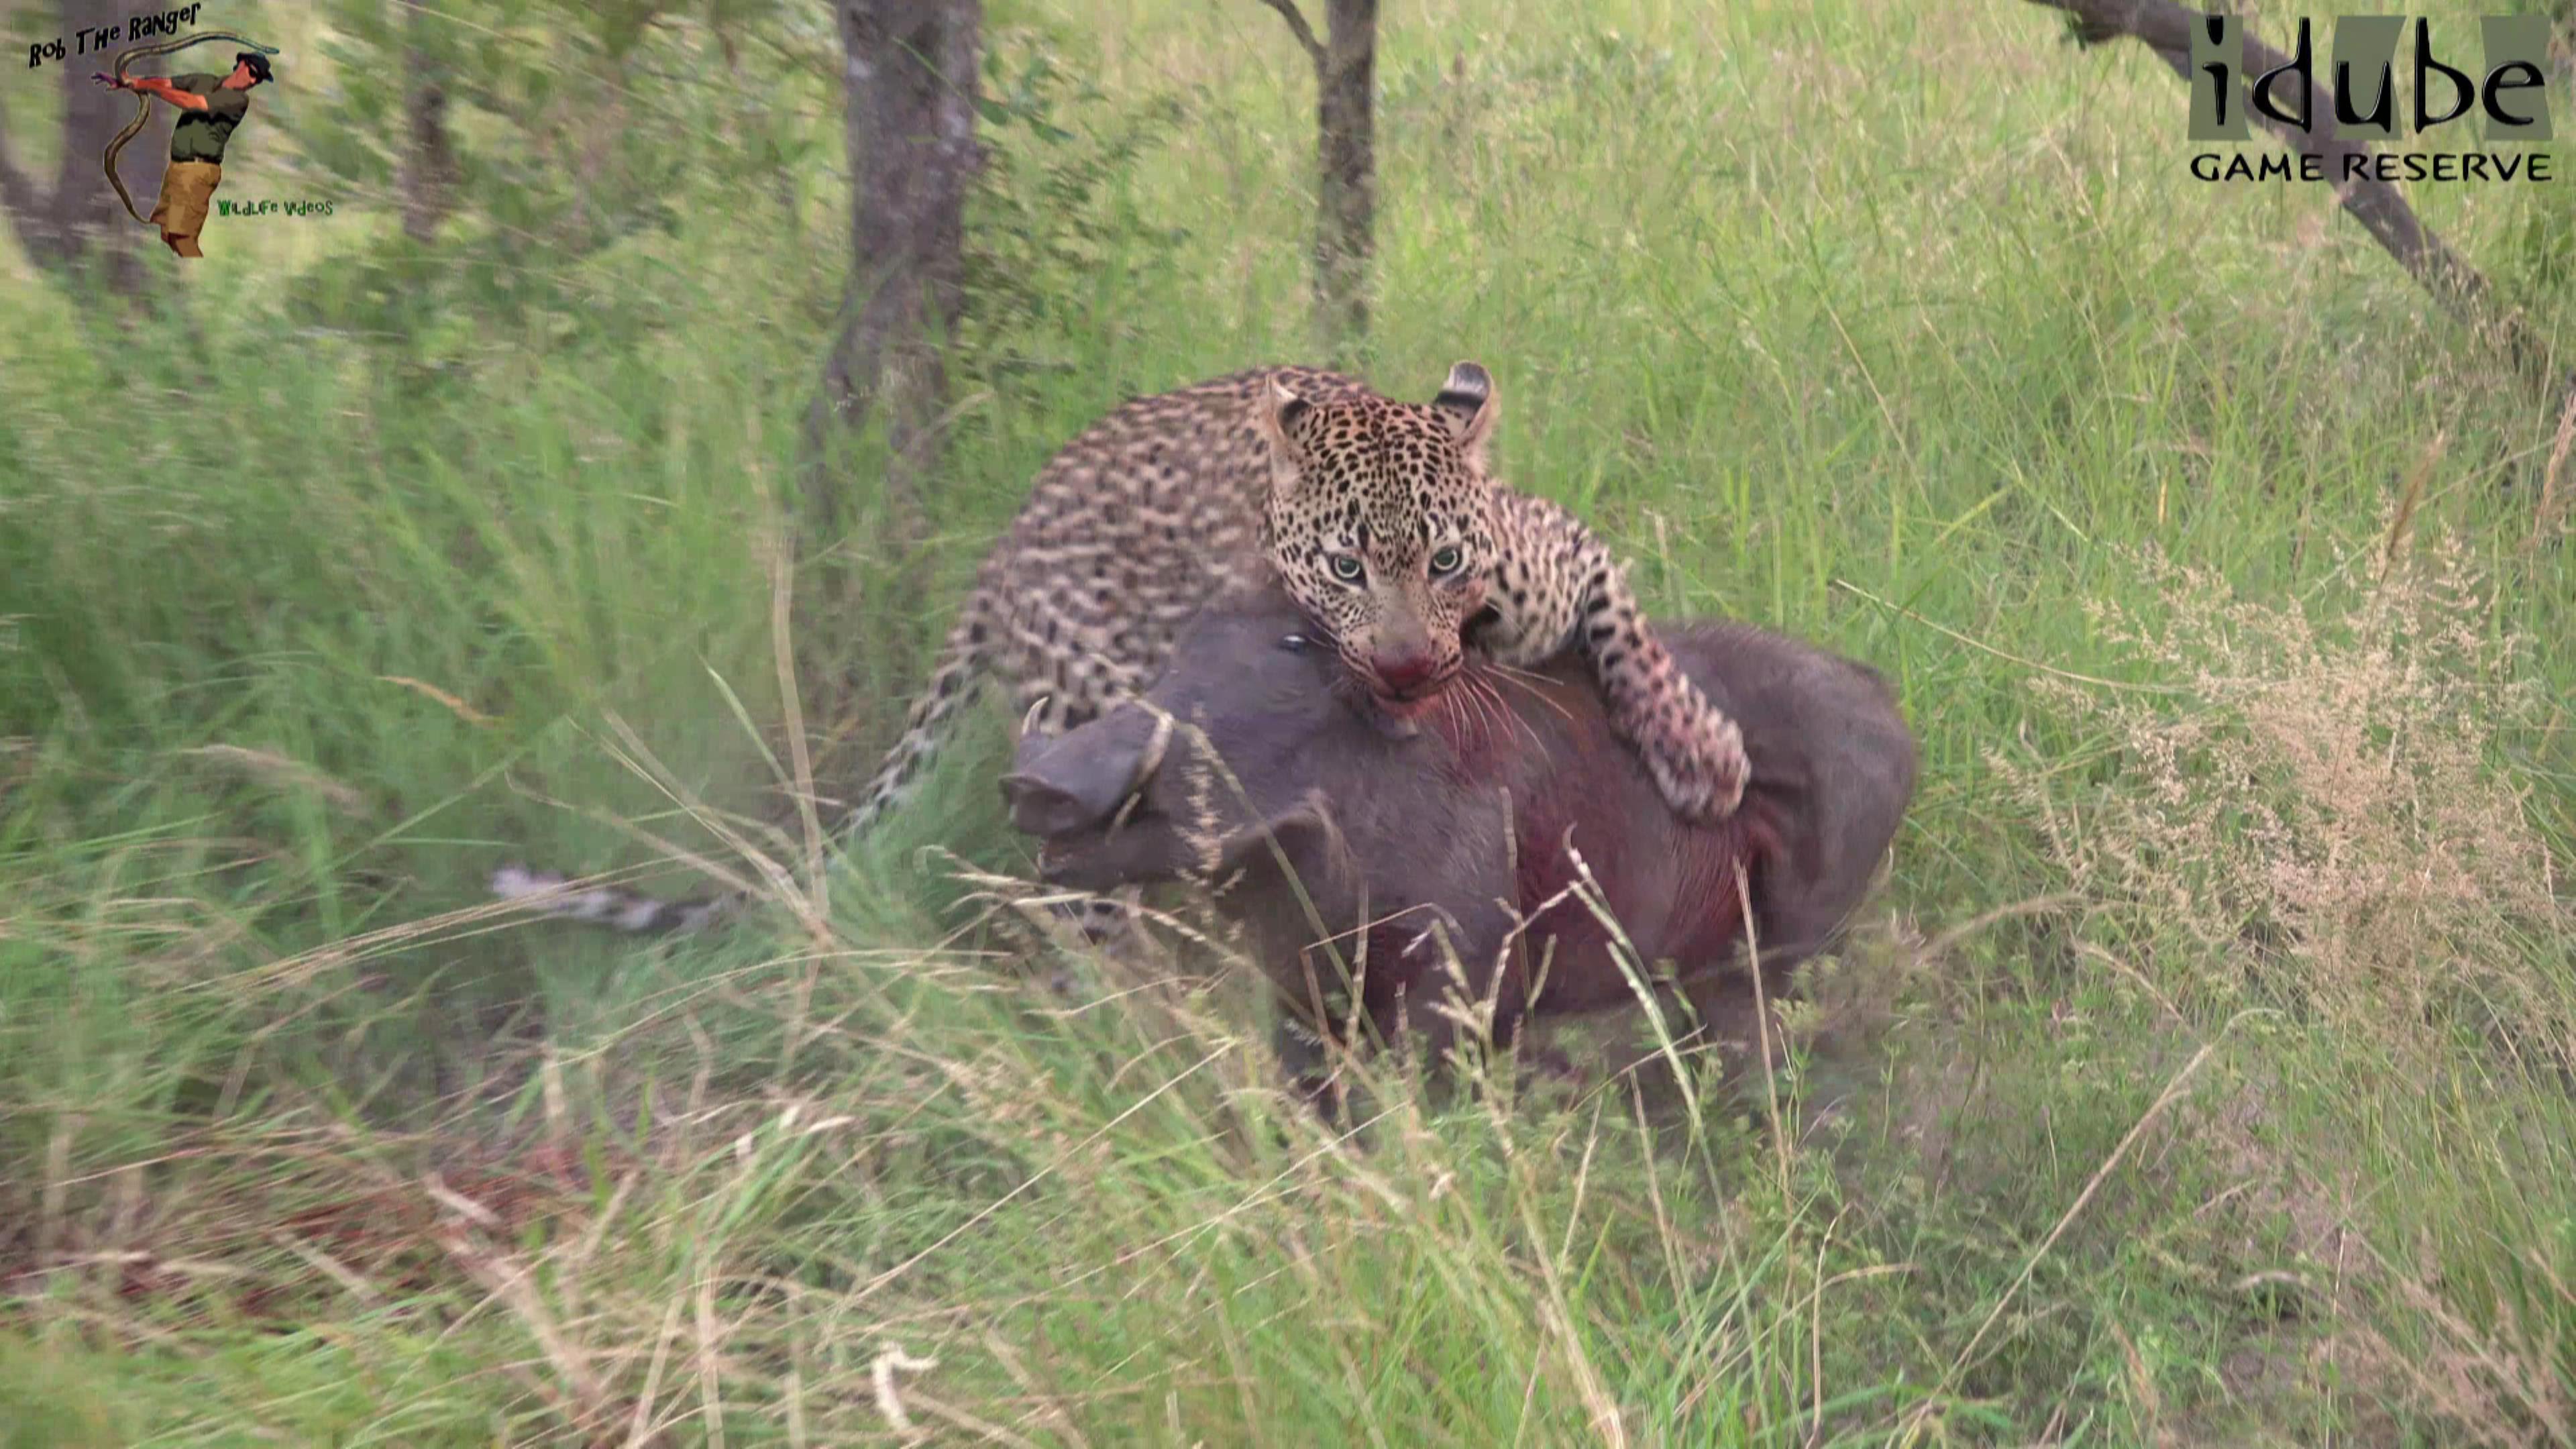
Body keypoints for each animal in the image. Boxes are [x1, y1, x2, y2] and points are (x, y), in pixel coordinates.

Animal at [486, 361, 1752, 938]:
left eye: (1445, 560)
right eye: (1343, 570)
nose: (1401, 669)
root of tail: (1001, 552)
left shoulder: (1560, 553)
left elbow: (1628, 632)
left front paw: (1700, 752)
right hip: (1088, 718)